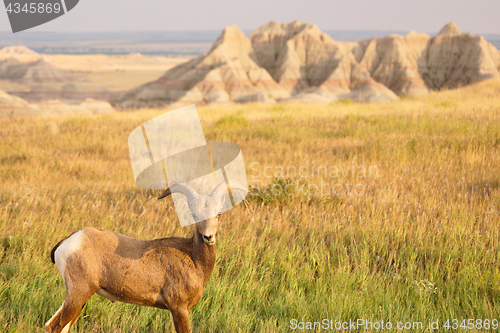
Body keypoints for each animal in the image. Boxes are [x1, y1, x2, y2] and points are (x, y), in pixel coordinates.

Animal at [44, 180, 246, 332]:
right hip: (79, 294)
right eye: (194, 214)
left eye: (218, 213)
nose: (208, 237)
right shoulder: (179, 309)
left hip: (79, 298)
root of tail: (68, 242)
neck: (192, 258)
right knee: (55, 326)